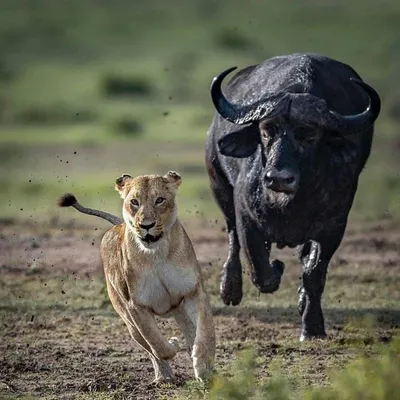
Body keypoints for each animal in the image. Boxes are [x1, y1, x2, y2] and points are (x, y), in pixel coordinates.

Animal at [206, 53, 382, 340]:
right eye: (266, 131)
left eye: (309, 135)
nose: (278, 178)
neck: (289, 203)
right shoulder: (246, 215)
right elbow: (260, 270)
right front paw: (276, 268)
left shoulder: (333, 226)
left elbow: (314, 275)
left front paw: (313, 327)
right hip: (218, 183)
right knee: (232, 235)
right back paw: (230, 288)